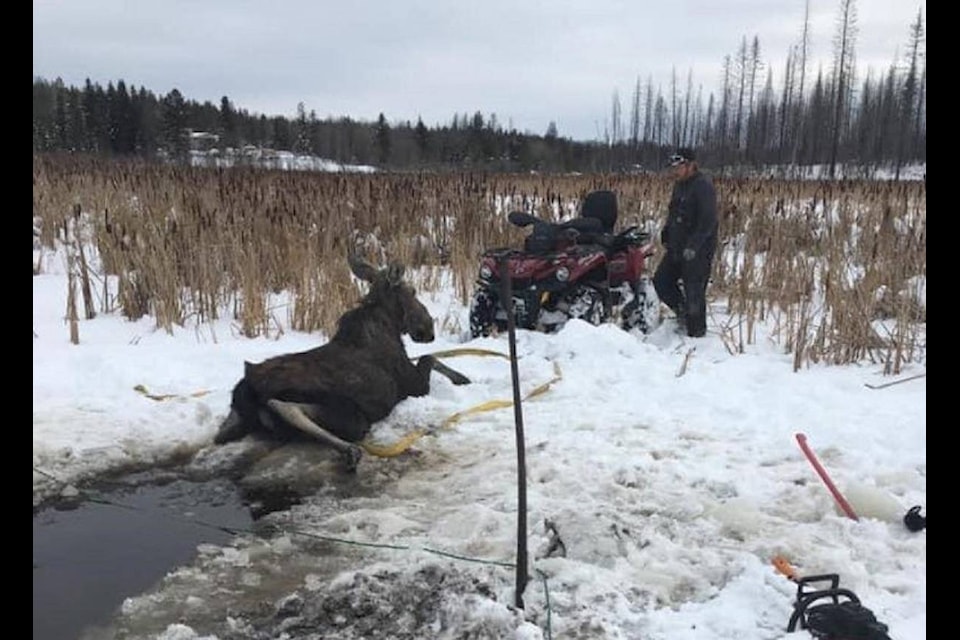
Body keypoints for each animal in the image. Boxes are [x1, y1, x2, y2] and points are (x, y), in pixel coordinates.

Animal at [218, 251, 472, 470]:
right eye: (413, 291)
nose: (428, 330)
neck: (389, 325)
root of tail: (249, 386)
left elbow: (431, 357)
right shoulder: (414, 386)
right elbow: (430, 357)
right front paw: (462, 378)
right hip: (350, 413)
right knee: (286, 407)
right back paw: (350, 450)